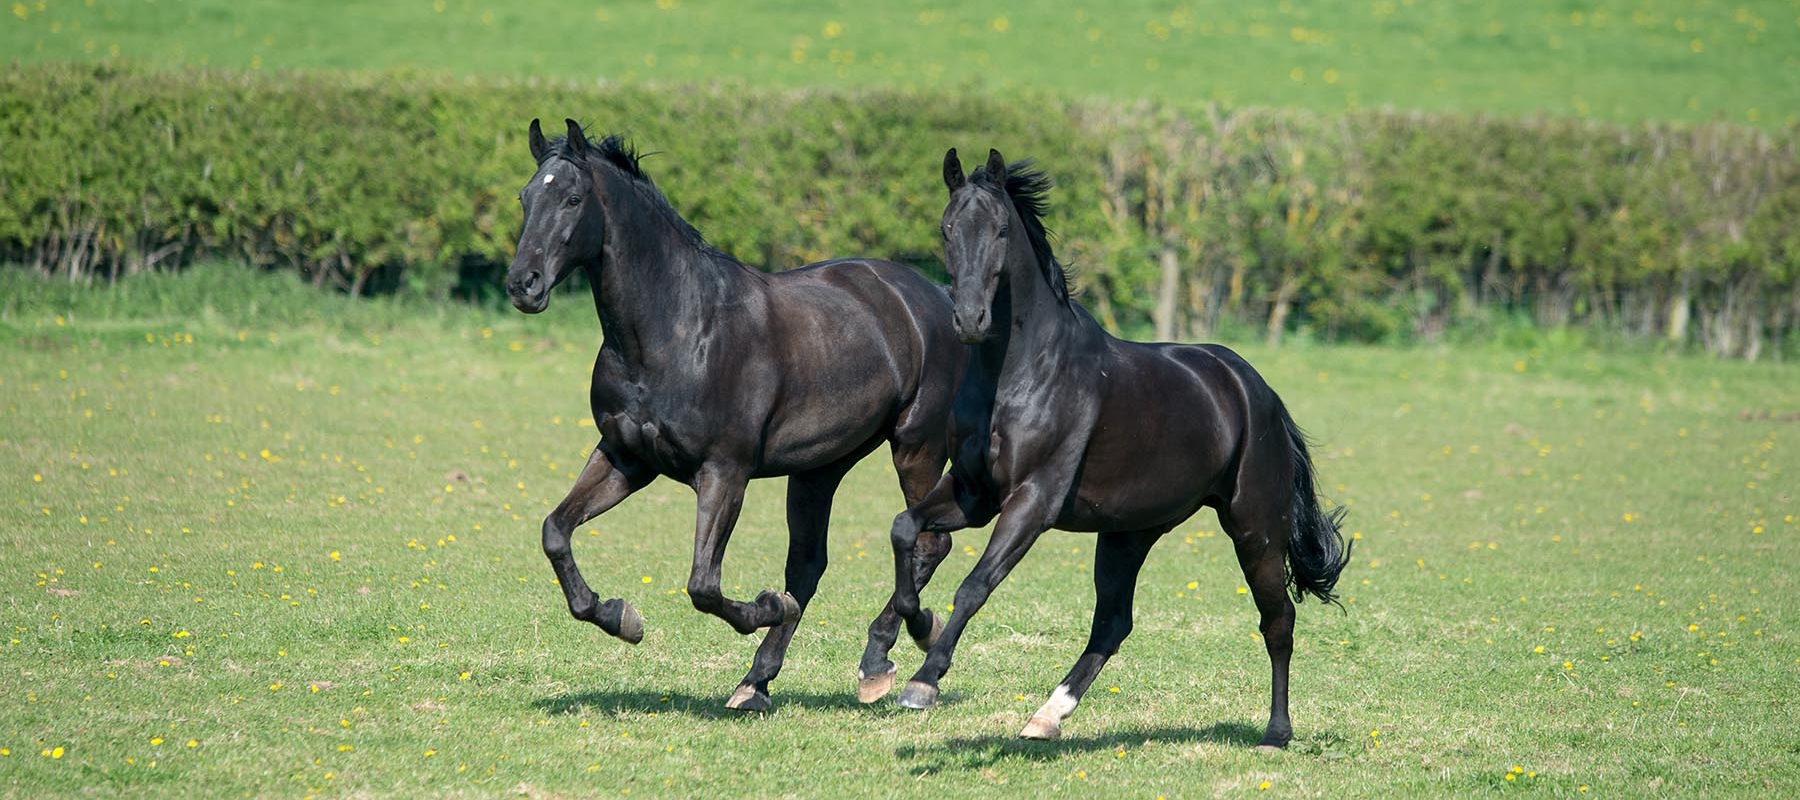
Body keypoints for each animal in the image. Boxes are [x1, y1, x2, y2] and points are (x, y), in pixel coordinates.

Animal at [504, 119, 965, 711]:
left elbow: (704, 584)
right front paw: (621, 617)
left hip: (916, 445)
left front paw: (765, 605)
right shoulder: (626, 458)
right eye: (525, 196)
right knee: (809, 565)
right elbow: (555, 531)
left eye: (572, 198)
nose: (524, 284)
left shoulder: (725, 471)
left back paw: (886, 655)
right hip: (821, 467)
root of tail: (935, 296)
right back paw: (756, 681)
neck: (677, 330)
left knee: (929, 541)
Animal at [873, 148, 1352, 748]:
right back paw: (1046, 717)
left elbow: (975, 585)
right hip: (1129, 532)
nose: (969, 320)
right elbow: (905, 528)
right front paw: (908, 635)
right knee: (1113, 624)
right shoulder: (972, 492)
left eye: (1002, 230)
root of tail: (1257, 391)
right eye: (947, 228)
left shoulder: (1032, 500)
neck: (1022, 374)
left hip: (1254, 527)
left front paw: (923, 681)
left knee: (1277, 619)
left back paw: (1275, 732)